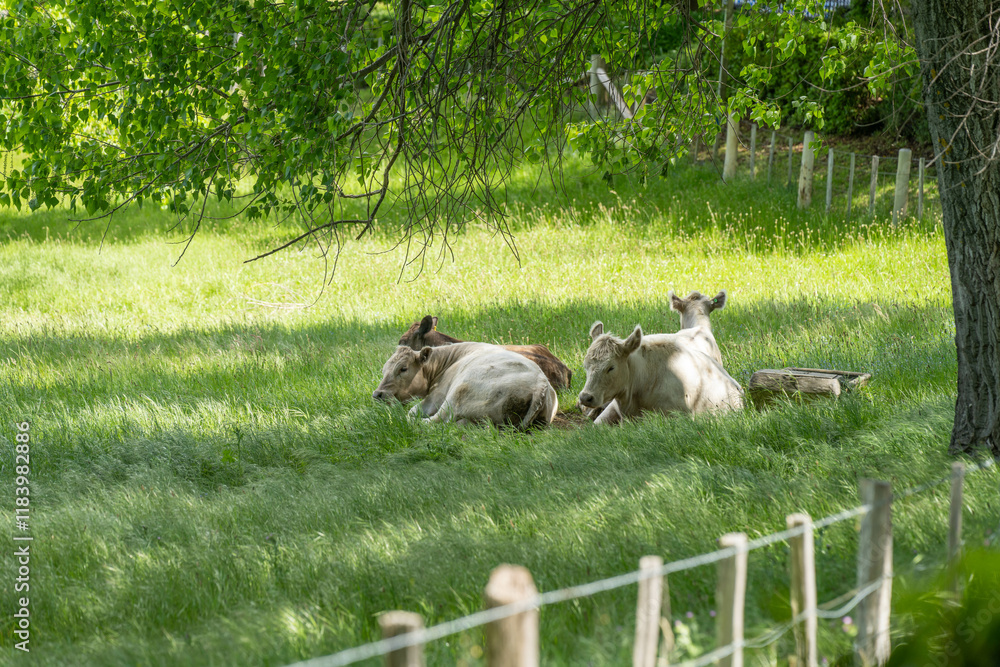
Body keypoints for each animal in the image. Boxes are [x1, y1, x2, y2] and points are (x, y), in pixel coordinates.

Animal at [373, 342, 558, 429]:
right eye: (383, 369)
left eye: (403, 368)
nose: (377, 394)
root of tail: (541, 384)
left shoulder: (435, 397)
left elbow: (412, 411)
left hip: (456, 396)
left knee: (436, 421)